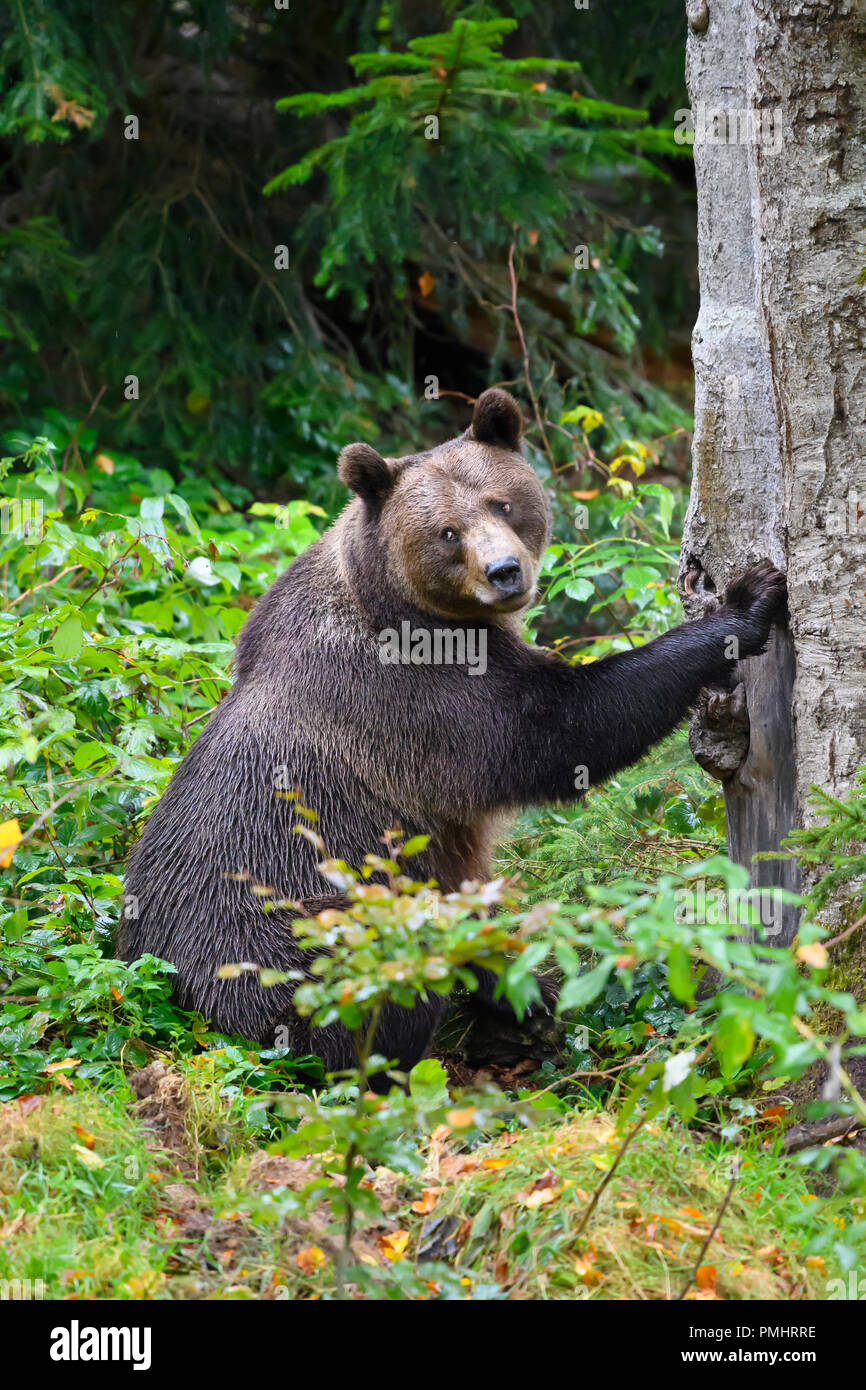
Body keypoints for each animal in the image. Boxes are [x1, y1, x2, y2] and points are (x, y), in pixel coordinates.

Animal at [120, 388, 787, 1075]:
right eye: (447, 531)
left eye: (503, 502)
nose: (505, 571)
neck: (411, 605)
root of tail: (192, 1010)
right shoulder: (415, 698)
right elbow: (558, 728)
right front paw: (744, 603)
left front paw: (527, 991)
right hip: (296, 946)